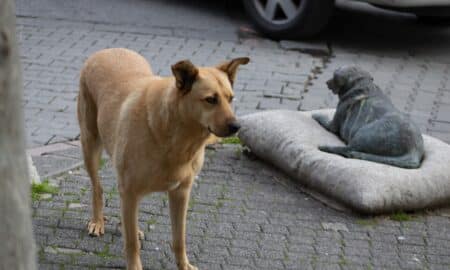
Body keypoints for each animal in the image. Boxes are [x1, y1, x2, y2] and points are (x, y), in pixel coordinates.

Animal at [77, 47, 250, 268]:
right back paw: (98, 222)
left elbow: (179, 239)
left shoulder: (181, 193)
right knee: (97, 188)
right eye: (211, 99)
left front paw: (184, 265)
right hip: (90, 146)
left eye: (231, 98)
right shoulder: (129, 189)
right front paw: (134, 266)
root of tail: (108, 50)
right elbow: (131, 244)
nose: (237, 127)